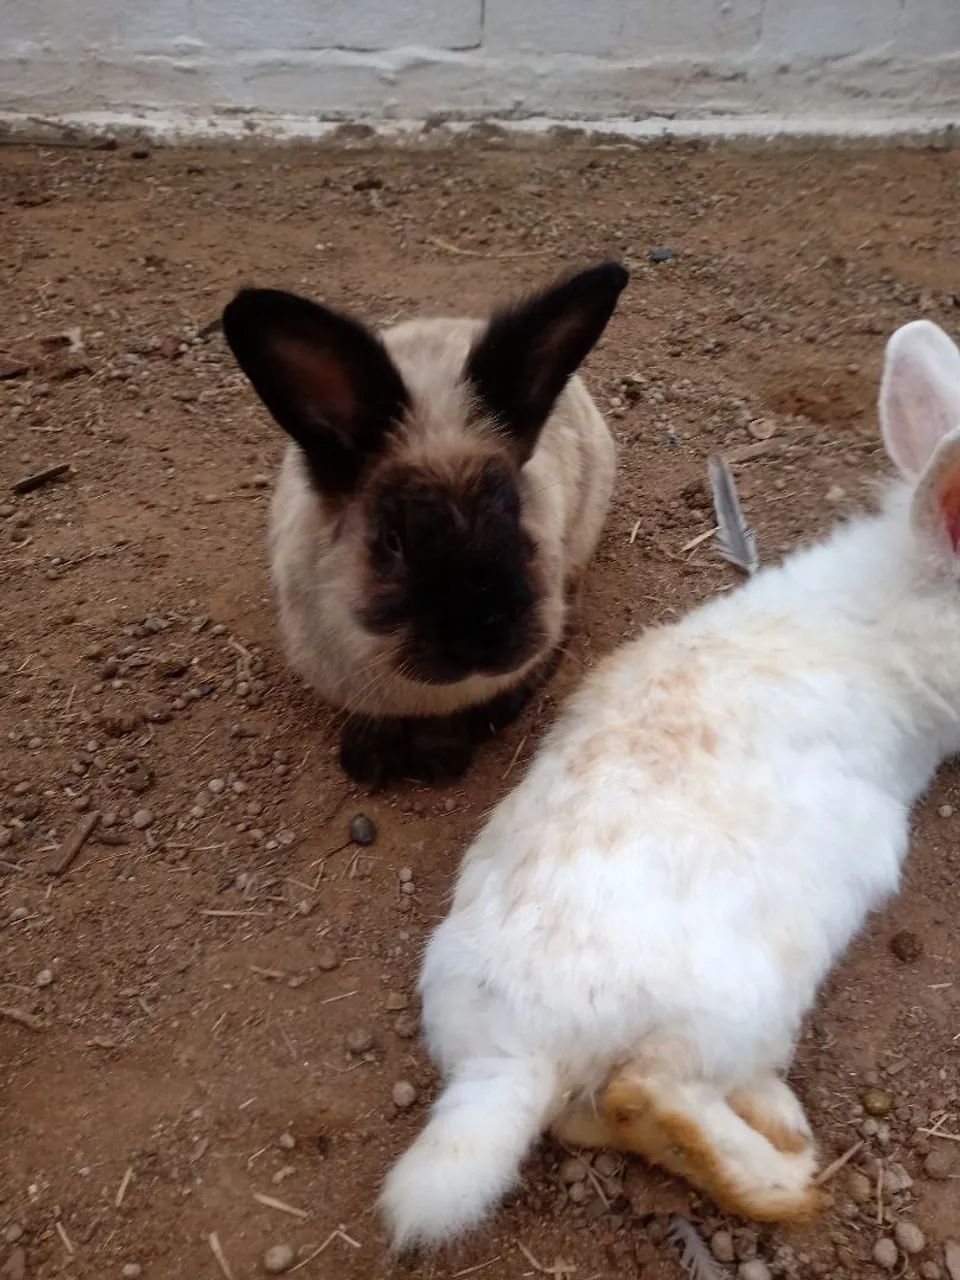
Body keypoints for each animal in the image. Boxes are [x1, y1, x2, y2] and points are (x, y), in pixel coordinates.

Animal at [221, 263, 627, 786]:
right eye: (392, 540)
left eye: (517, 514)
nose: (482, 638)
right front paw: (368, 761)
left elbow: (445, 723)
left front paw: (440, 761)